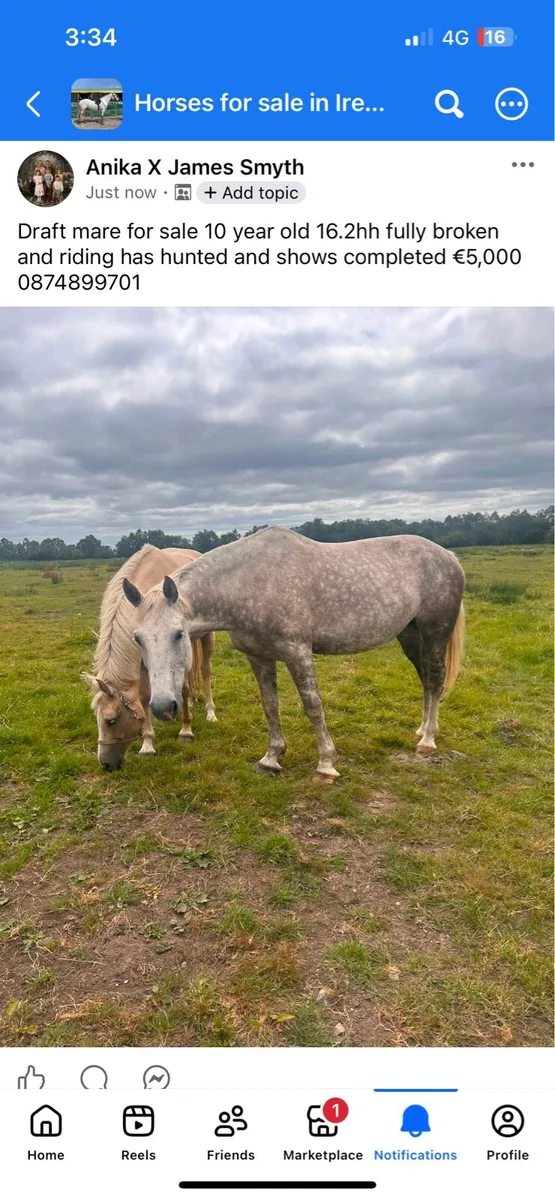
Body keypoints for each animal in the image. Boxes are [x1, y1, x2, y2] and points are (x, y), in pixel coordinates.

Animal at [82, 544, 217, 771]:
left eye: (111, 720)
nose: (106, 764)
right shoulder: (143, 662)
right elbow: (145, 697)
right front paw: (147, 744)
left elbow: (183, 687)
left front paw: (186, 730)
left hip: (206, 638)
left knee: (205, 672)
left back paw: (210, 712)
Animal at [121, 526, 465, 781]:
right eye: (138, 638)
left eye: (178, 634)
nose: (163, 707)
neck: (251, 583)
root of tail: (448, 556)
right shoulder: (259, 657)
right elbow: (270, 706)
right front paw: (271, 758)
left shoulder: (297, 652)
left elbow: (313, 706)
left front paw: (326, 764)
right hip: (410, 634)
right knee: (425, 680)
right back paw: (421, 730)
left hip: (435, 631)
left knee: (435, 679)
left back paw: (428, 741)